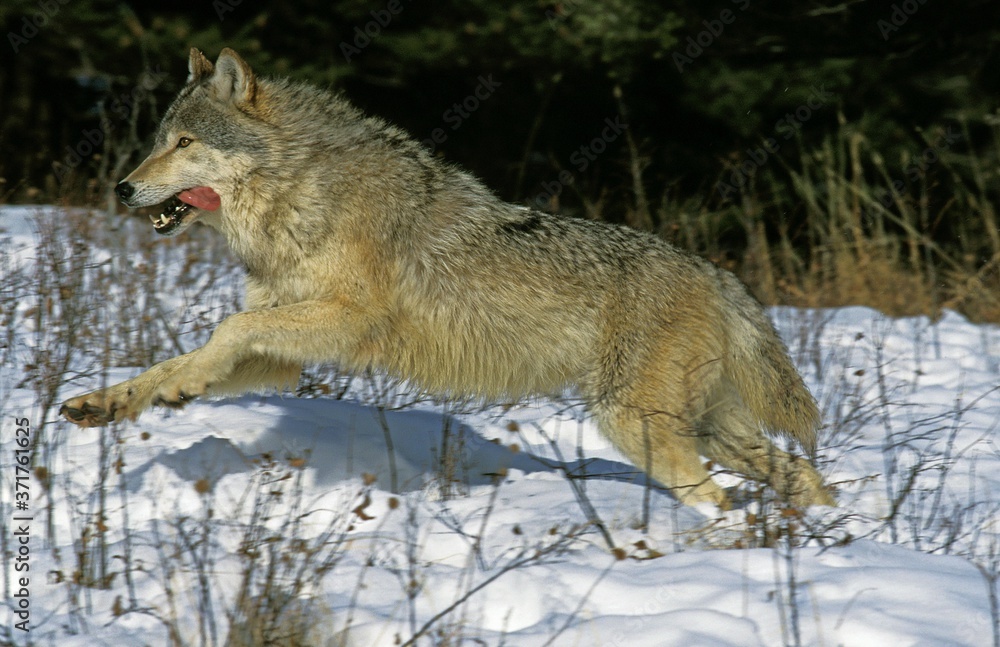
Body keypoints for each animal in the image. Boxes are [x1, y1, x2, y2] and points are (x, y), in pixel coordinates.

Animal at [61, 48, 835, 509]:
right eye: (158, 140)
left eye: (184, 143)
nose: (122, 188)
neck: (298, 194)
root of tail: (718, 272)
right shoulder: (284, 355)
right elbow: (178, 357)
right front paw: (108, 403)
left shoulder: (347, 320)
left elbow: (226, 326)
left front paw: (177, 390)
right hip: (703, 428)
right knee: (800, 474)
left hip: (642, 428)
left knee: (721, 499)